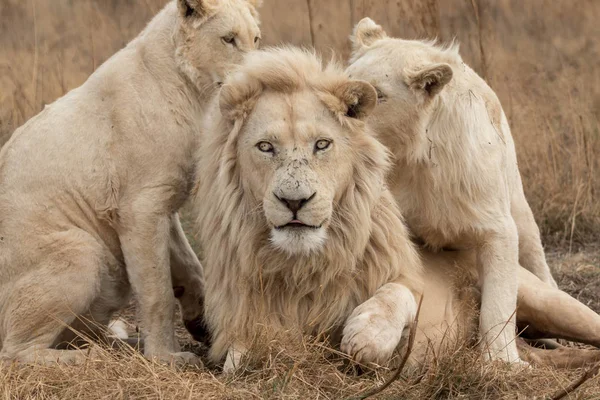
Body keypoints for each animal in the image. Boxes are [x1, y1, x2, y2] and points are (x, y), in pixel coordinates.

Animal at [0, 0, 262, 366]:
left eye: (255, 38)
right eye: (228, 39)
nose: (256, 79)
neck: (194, 93)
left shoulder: (165, 201)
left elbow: (191, 266)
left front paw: (201, 324)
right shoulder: (140, 207)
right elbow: (156, 289)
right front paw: (168, 356)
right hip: (82, 250)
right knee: (14, 350)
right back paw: (88, 358)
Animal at [195, 47, 424, 372]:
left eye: (322, 144)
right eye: (265, 147)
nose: (294, 201)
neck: (303, 267)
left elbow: (398, 292)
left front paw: (366, 336)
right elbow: (241, 352)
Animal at [346, 18, 556, 362]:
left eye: (379, 95)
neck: (411, 158)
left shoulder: (495, 223)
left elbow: (500, 298)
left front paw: (501, 361)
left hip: (519, 208)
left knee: (536, 256)